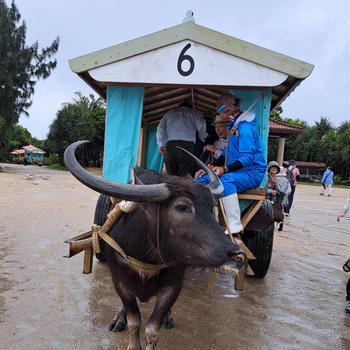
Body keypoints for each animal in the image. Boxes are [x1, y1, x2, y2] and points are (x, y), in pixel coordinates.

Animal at [65, 140, 246, 350]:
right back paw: (119, 318)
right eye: (182, 207)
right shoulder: (120, 281)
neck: (147, 253)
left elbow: (152, 329)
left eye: (212, 208)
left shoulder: (173, 284)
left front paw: (162, 321)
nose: (237, 254)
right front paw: (129, 334)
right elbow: (134, 320)